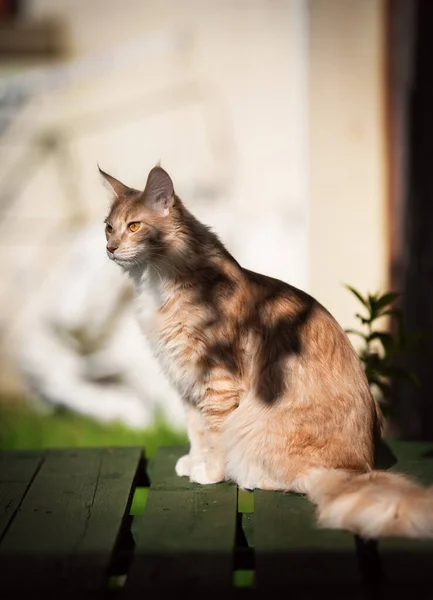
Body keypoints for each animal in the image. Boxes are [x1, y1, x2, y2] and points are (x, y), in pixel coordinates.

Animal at [100, 163, 432, 540]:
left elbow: (214, 435)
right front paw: (195, 461)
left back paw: (245, 475)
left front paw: (211, 472)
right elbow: (196, 432)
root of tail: (353, 467)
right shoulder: (187, 382)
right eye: (108, 227)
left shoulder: (216, 380)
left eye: (134, 226)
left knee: (290, 479)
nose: (110, 247)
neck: (158, 283)